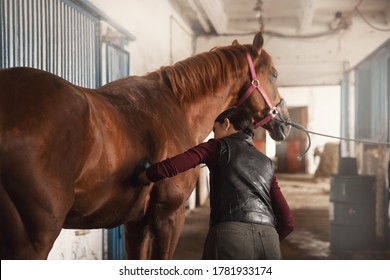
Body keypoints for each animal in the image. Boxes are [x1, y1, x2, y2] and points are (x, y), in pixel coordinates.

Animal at [0, 31, 290, 260]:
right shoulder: (168, 216)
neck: (177, 106)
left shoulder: (136, 223)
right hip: (34, 239)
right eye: (275, 75)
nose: (285, 122)